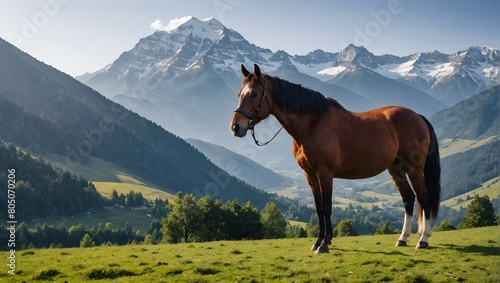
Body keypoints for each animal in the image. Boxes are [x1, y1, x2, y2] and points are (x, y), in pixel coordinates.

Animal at [229, 65, 440, 255]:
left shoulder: (325, 173)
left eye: (254, 94)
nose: (235, 127)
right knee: (408, 199)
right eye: (239, 93)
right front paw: (318, 241)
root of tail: (417, 116)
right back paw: (402, 238)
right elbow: (318, 208)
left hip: (414, 169)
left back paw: (423, 239)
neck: (313, 125)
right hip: (396, 170)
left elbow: (327, 206)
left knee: (423, 197)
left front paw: (324, 244)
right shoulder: (310, 175)